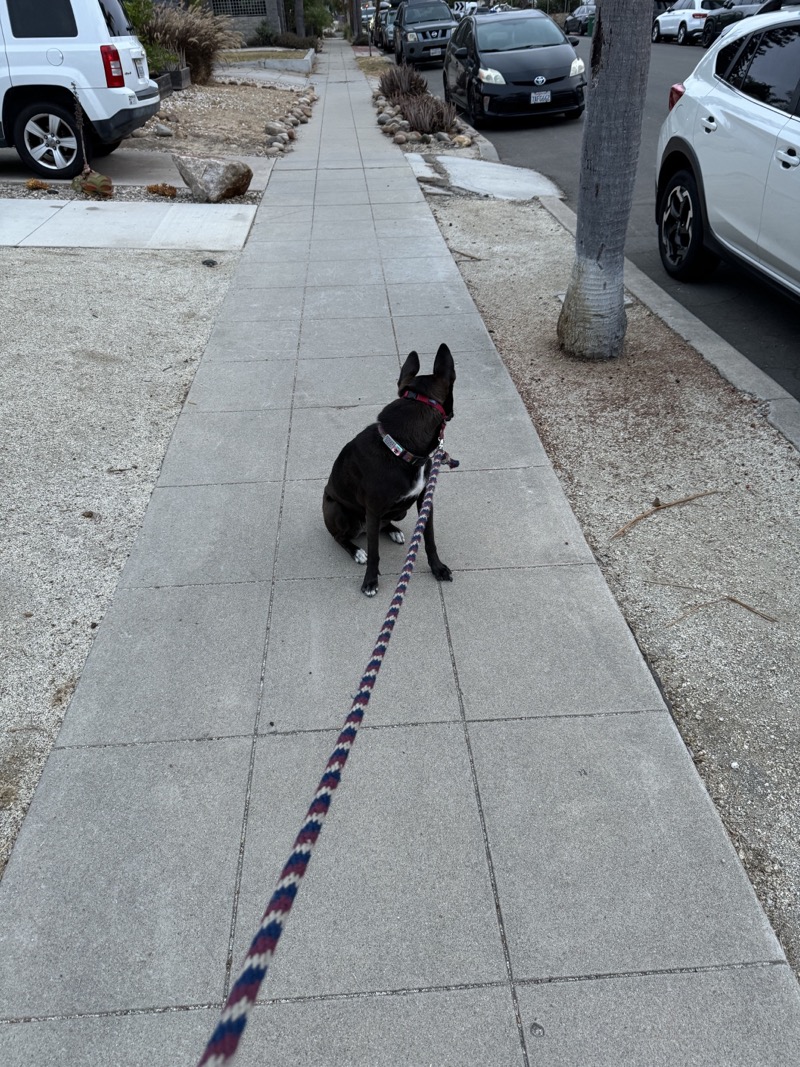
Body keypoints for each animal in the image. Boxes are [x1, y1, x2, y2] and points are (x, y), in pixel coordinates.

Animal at [322, 343, 456, 597]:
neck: (400, 447)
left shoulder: (425, 499)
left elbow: (429, 539)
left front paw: (437, 568)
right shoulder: (373, 510)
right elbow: (375, 553)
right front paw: (370, 581)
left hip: (397, 511)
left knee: (382, 525)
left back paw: (393, 531)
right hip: (341, 512)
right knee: (339, 537)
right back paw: (356, 551)